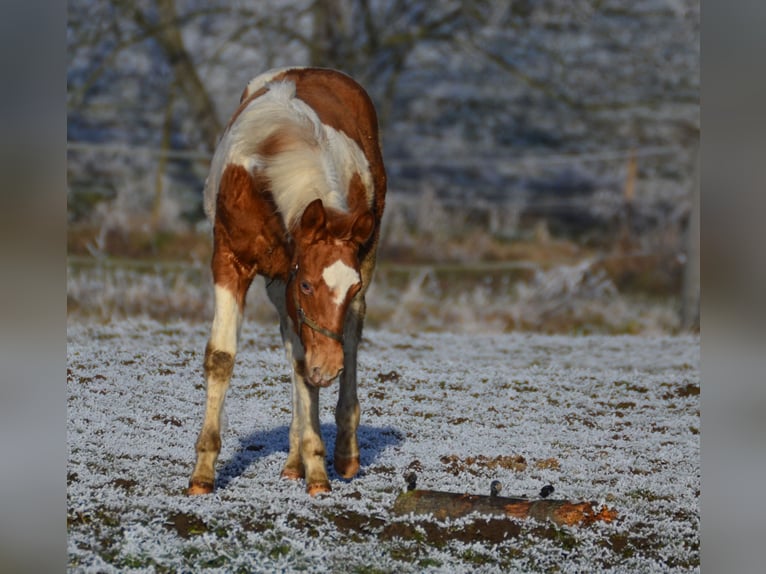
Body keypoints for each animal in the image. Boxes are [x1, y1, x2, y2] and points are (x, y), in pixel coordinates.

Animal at [189, 68, 388, 500]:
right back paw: (295, 461)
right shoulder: (230, 263)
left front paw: (318, 470)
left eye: (350, 288)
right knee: (295, 353)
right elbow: (224, 357)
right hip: (277, 285)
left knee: (349, 338)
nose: (328, 368)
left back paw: (342, 452)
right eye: (308, 286)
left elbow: (308, 367)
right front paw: (203, 474)